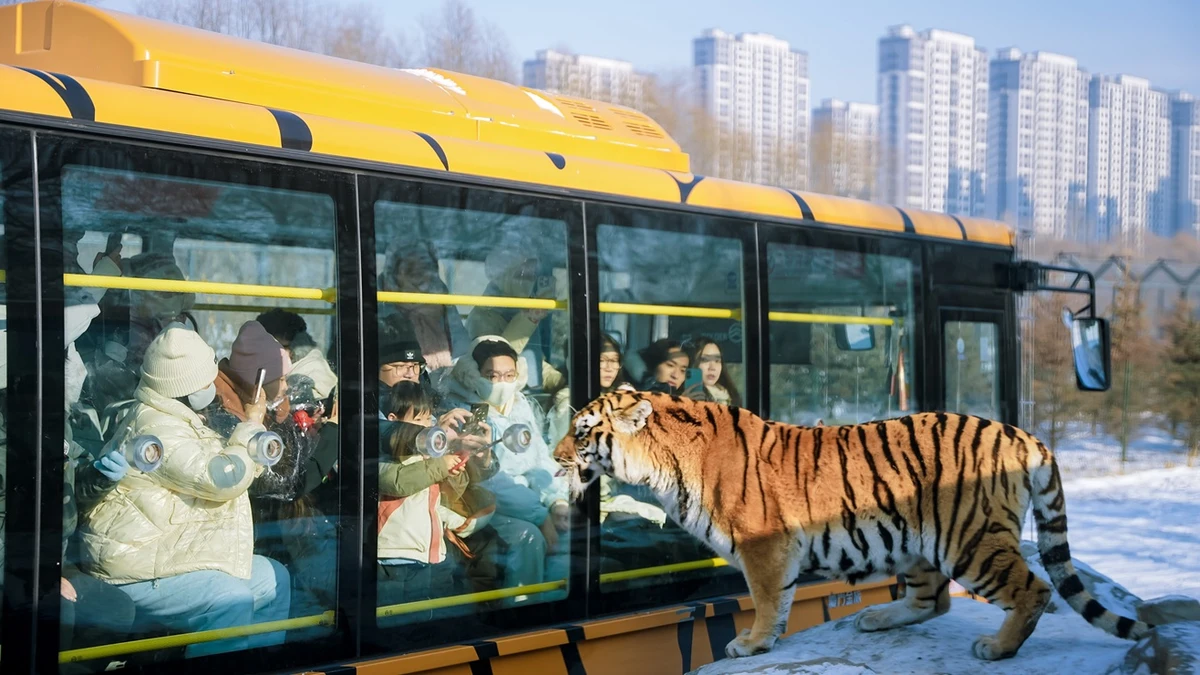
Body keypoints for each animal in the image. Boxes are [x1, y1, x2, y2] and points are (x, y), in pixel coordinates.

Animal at [552, 390, 1153, 661]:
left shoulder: (764, 545)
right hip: (920, 542)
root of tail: (1023, 434)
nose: (555, 458)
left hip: (969, 539)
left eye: (582, 432)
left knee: (1034, 589)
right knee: (934, 600)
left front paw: (750, 643)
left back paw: (997, 647)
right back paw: (876, 619)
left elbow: (766, 599)